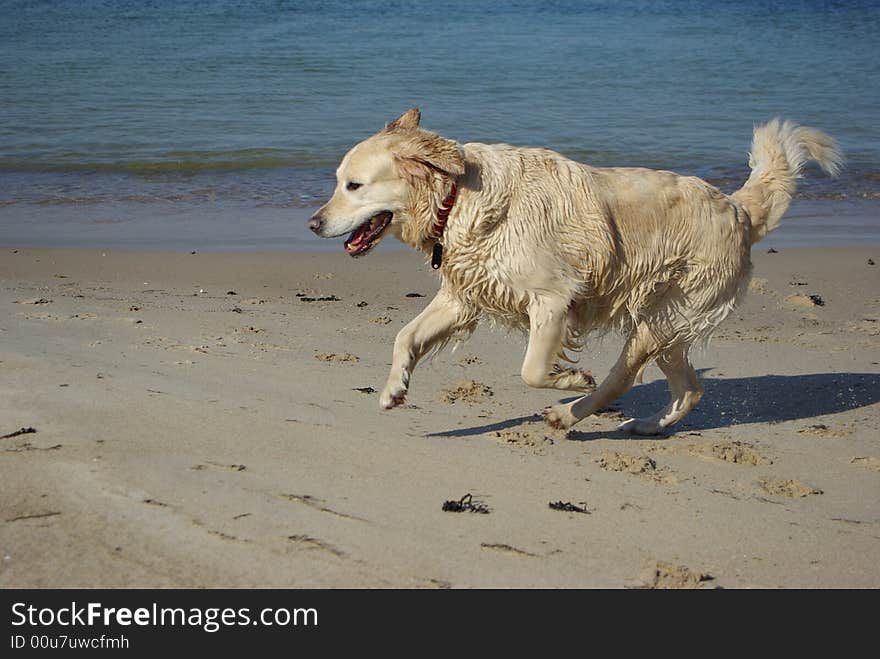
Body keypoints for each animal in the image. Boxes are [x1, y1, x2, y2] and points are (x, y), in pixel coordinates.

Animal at [308, 110, 840, 436]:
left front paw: (571, 378)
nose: (313, 224)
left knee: (623, 378)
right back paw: (643, 426)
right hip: (669, 324)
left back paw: (569, 415)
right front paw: (394, 389)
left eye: (353, 185)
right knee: (690, 388)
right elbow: (405, 335)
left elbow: (532, 369)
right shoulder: (465, 294)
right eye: (338, 182)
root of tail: (738, 208)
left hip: (662, 313)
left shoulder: (554, 298)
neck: (457, 198)